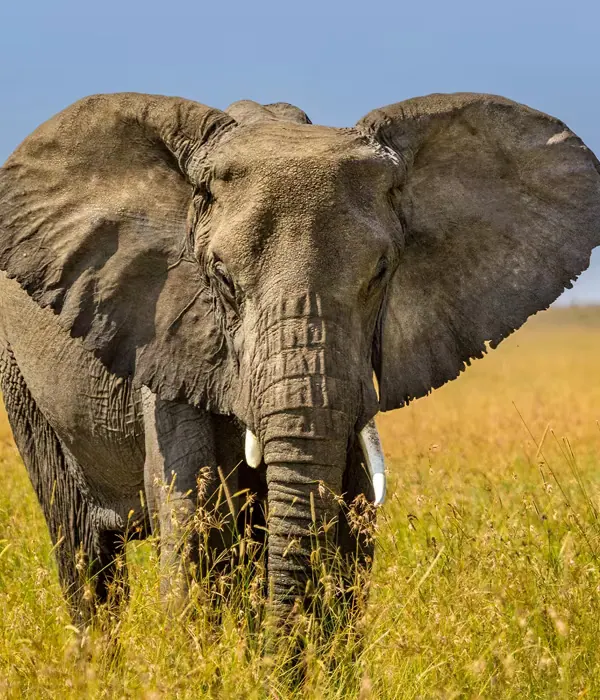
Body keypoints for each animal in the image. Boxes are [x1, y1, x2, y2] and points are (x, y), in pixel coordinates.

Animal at [0, 91, 599, 627]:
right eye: (220, 277)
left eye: (381, 273)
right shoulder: (169, 337)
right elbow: (193, 521)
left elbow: (352, 532)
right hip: (23, 381)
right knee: (84, 554)